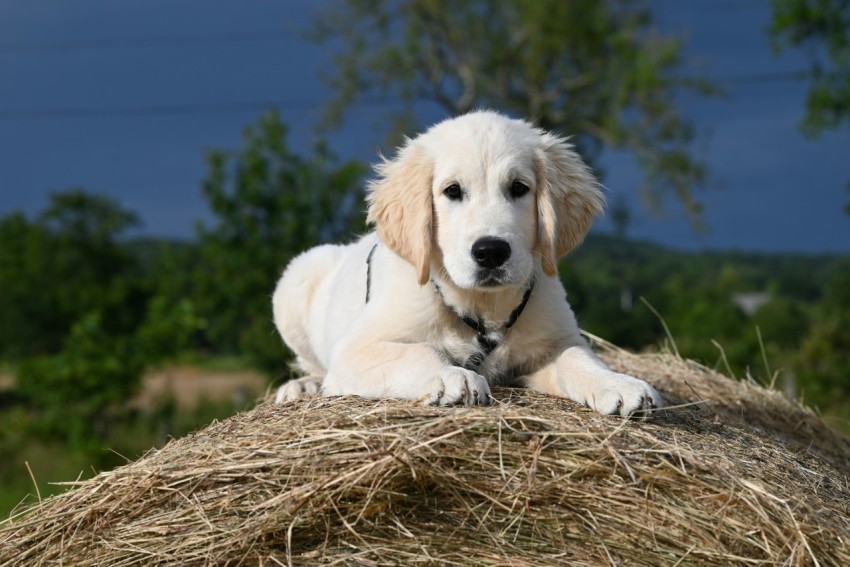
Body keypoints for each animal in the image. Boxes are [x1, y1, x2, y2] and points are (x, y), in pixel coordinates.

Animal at [272, 110, 664, 418]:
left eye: (519, 188)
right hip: (296, 278)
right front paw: (450, 376)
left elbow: (577, 356)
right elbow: (418, 350)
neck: (483, 308)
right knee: (312, 363)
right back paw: (302, 386)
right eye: (452, 191)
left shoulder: (551, 342)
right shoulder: (355, 349)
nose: (491, 252)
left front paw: (617, 382)